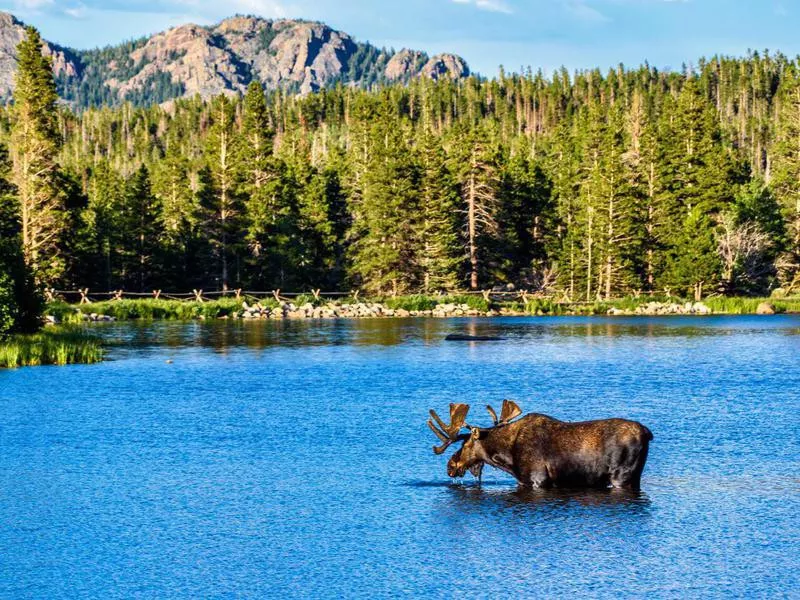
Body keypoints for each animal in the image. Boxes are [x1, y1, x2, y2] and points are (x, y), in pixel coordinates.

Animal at [428, 400, 652, 490]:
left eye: (465, 444)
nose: (450, 466)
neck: (506, 457)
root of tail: (648, 433)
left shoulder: (538, 479)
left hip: (621, 476)